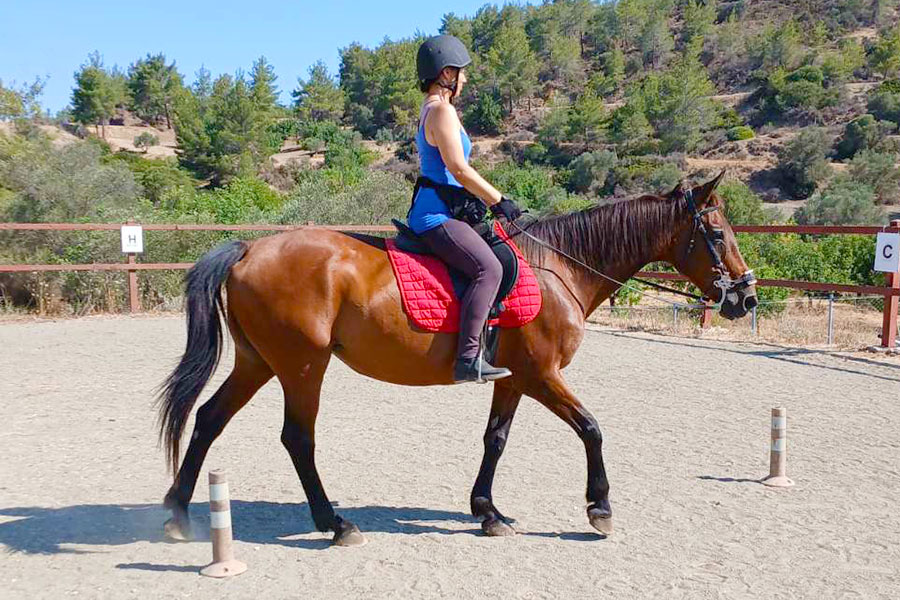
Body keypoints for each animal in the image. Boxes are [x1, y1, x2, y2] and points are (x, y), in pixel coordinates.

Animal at [158, 171, 757, 546]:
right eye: (717, 232)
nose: (746, 297)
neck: (559, 267)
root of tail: (248, 248)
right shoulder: (543, 375)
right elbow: (591, 427)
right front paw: (599, 508)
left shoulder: (514, 378)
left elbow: (496, 439)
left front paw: (487, 512)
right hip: (304, 366)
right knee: (297, 439)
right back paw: (335, 524)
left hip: (259, 362)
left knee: (208, 419)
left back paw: (178, 513)